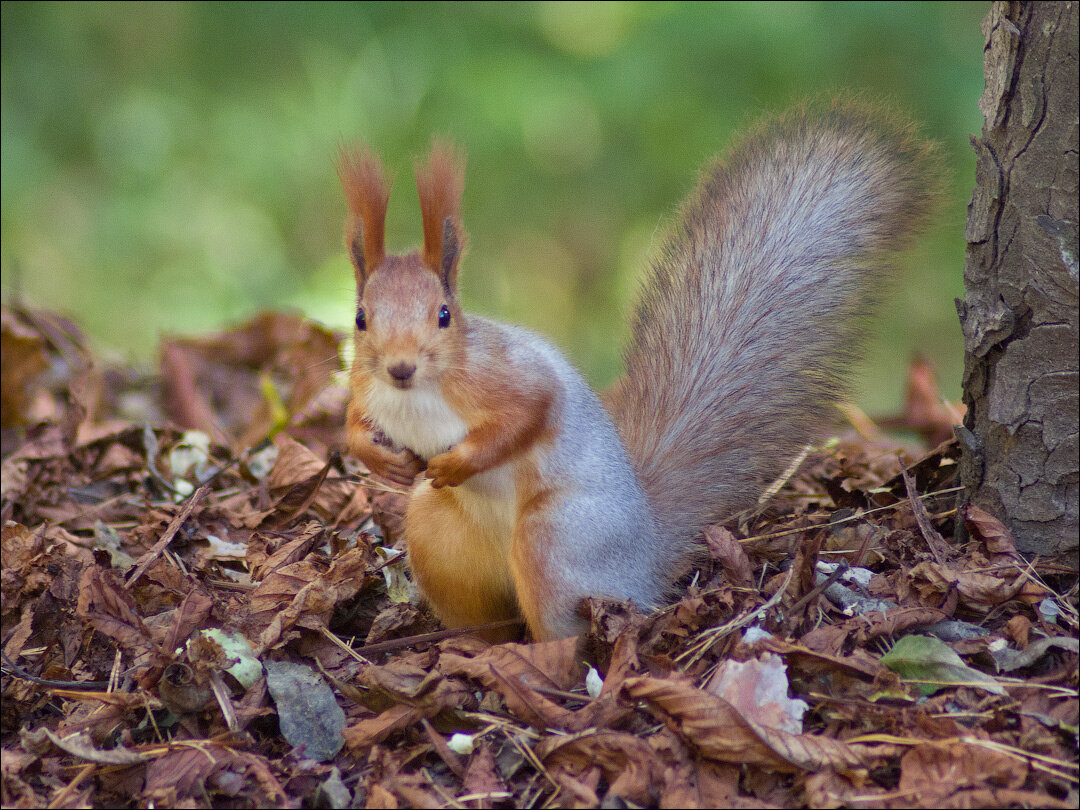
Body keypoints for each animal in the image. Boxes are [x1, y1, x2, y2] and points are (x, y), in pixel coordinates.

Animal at [341, 99, 941, 639]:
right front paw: (380, 457)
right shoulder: (363, 386)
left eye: (444, 315)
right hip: (438, 539)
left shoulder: (505, 375)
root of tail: (644, 549)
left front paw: (455, 463)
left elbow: (529, 412)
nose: (399, 368)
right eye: (360, 318)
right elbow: (351, 425)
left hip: (555, 541)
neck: (416, 393)